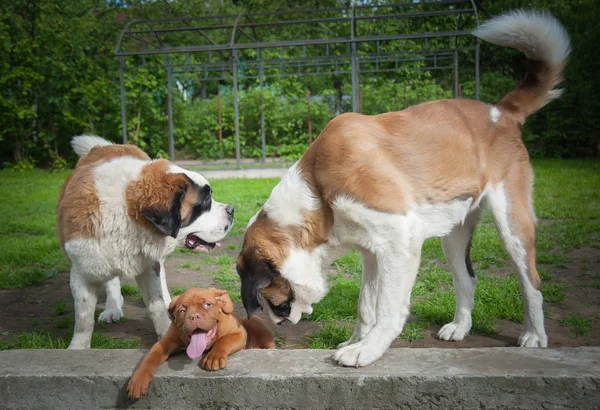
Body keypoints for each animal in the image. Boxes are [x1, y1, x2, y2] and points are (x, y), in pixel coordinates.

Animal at [56, 136, 234, 348]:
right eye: (205, 201)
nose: (231, 210)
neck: (126, 213)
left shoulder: (149, 264)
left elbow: (156, 303)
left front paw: (166, 333)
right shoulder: (81, 267)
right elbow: (83, 318)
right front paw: (78, 347)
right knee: (111, 280)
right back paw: (112, 307)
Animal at [129, 286, 276, 398]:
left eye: (207, 304)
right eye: (182, 310)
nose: (194, 316)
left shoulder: (238, 334)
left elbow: (224, 340)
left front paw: (214, 358)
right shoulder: (165, 342)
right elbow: (151, 357)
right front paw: (138, 379)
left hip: (257, 321)